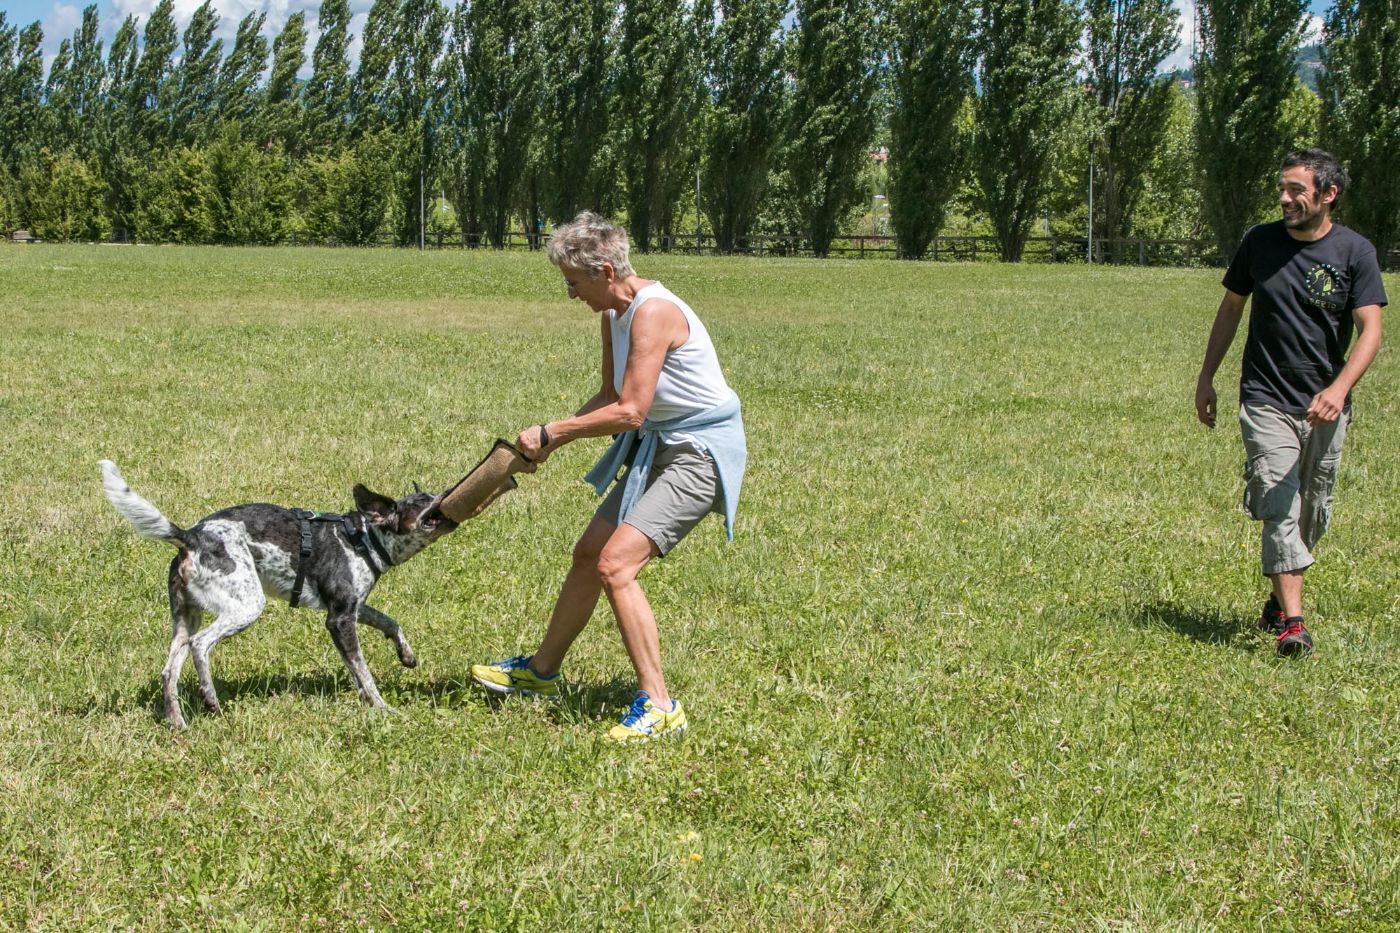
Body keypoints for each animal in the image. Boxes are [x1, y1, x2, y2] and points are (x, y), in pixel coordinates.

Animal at [100, 456, 459, 728]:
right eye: (422, 503)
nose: (450, 492)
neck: (364, 539)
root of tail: (191, 536)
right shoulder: (340, 619)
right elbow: (363, 671)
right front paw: (381, 707)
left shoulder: (351, 608)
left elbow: (389, 624)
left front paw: (405, 656)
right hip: (245, 606)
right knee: (201, 645)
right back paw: (211, 699)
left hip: (186, 618)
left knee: (169, 671)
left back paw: (177, 722)